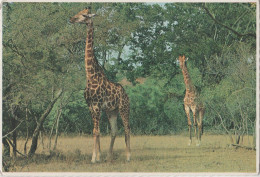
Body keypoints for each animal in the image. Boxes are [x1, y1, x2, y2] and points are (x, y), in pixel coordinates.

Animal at [69, 8, 130, 163]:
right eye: (79, 12)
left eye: (84, 15)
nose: (71, 19)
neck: (90, 75)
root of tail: (126, 94)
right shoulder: (91, 107)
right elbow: (95, 131)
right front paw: (99, 157)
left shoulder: (97, 106)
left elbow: (96, 131)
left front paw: (93, 158)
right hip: (112, 111)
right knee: (114, 131)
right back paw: (109, 157)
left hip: (124, 108)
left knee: (127, 128)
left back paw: (128, 156)